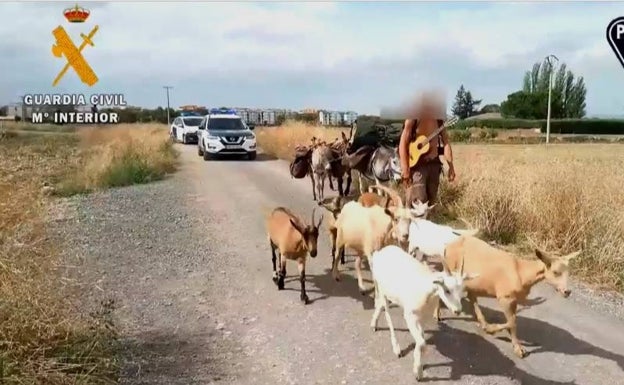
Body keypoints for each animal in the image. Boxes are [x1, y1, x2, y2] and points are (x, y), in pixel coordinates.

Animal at [370, 244, 478, 380]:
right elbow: (421, 342)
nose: (457, 310)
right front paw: (418, 371)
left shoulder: (424, 317)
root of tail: (380, 252)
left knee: (379, 305)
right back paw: (396, 348)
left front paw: (419, 366)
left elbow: (421, 340)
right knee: (387, 314)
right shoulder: (410, 316)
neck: (425, 290)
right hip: (383, 290)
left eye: (462, 290)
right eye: (447, 290)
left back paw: (373, 324)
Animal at [438, 234, 580, 356]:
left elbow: (512, 320)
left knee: (472, 296)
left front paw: (512, 342)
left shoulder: (513, 299)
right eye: (555, 272)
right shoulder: (504, 297)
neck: (522, 273)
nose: (567, 291)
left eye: (568, 272)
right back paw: (439, 316)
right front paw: (498, 334)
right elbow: (512, 322)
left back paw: (482, 322)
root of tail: (447, 246)